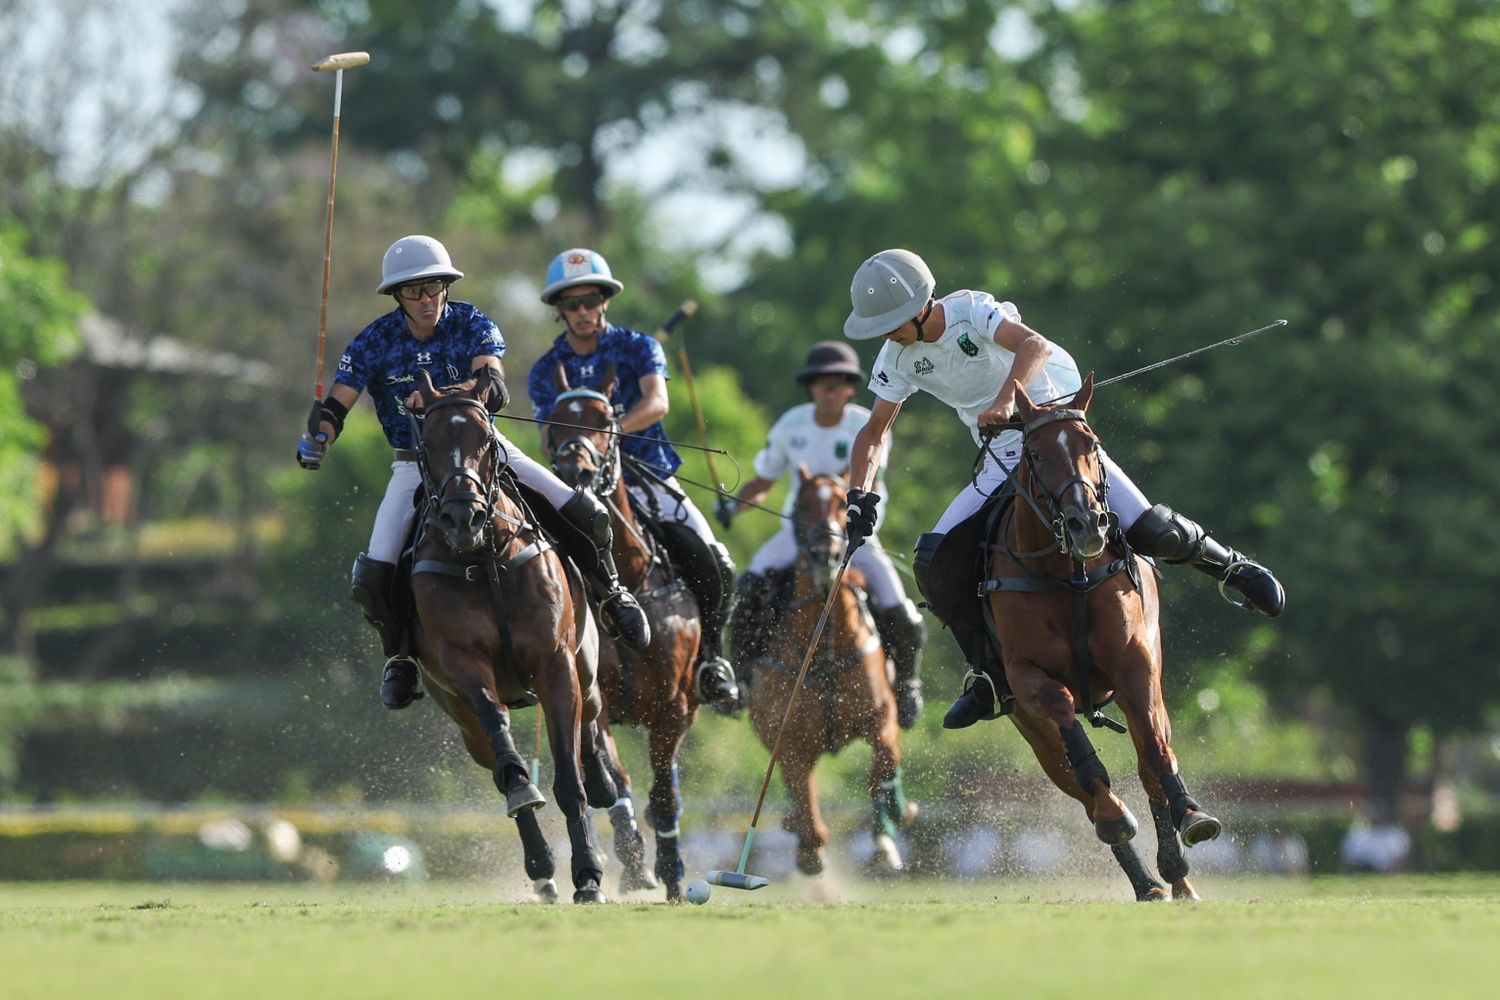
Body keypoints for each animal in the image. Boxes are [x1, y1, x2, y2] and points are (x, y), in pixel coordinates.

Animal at [408, 371, 618, 905]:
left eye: (486, 439)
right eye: (427, 443)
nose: (464, 518)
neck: (484, 558)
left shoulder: (555, 662)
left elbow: (569, 777)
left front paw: (589, 874)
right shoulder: (462, 664)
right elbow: (499, 735)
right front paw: (524, 787)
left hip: (586, 667)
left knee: (591, 723)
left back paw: (602, 783)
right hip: (459, 719)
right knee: (494, 757)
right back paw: (542, 868)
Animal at [543, 364, 705, 905]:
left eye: (605, 420)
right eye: (553, 421)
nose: (572, 469)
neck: (629, 579)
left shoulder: (675, 706)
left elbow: (664, 791)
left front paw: (672, 870)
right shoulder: (600, 700)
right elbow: (617, 778)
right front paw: (635, 864)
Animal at [750, 467, 912, 875]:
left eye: (842, 504)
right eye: (802, 505)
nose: (826, 554)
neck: (822, 654)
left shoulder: (880, 716)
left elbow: (883, 766)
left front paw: (884, 839)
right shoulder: (788, 737)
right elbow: (800, 788)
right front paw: (810, 848)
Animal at [984, 371, 1218, 905]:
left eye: (1092, 444)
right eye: (1035, 454)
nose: (1087, 523)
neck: (1066, 572)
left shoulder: (1136, 663)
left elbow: (1154, 753)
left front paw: (1193, 814)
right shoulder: (1026, 677)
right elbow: (1082, 755)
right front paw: (1116, 817)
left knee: (1151, 764)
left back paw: (1177, 875)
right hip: (1032, 732)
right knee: (1081, 788)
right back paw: (1145, 879)